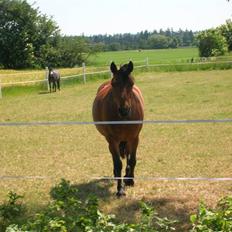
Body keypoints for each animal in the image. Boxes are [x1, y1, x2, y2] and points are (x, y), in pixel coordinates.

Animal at [92, 60, 143, 197]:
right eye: (114, 84)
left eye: (131, 83)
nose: (124, 110)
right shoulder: (113, 140)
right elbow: (118, 163)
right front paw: (120, 189)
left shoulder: (134, 138)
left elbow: (133, 160)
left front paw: (130, 180)